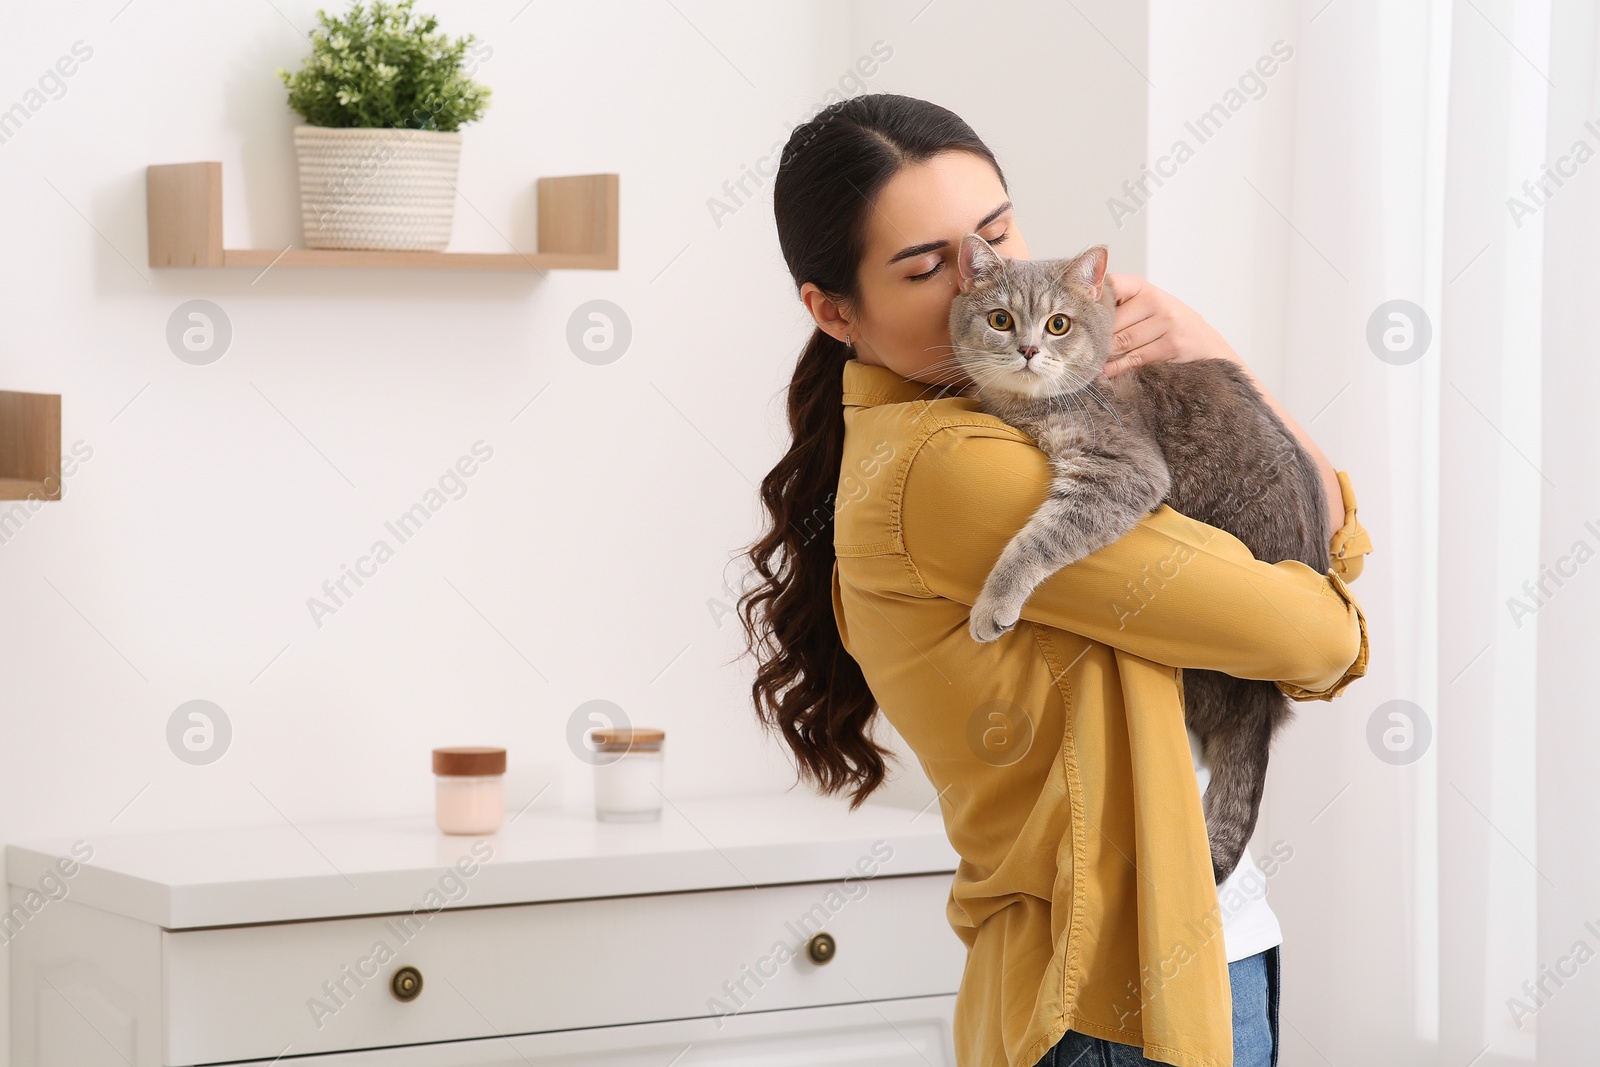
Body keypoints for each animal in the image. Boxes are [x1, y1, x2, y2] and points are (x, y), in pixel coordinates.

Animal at [947, 233, 1324, 883]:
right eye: (1000, 320)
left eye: (1057, 323)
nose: (1027, 349)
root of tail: (1264, 704)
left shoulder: (1123, 469)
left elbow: (1039, 539)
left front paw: (993, 603)